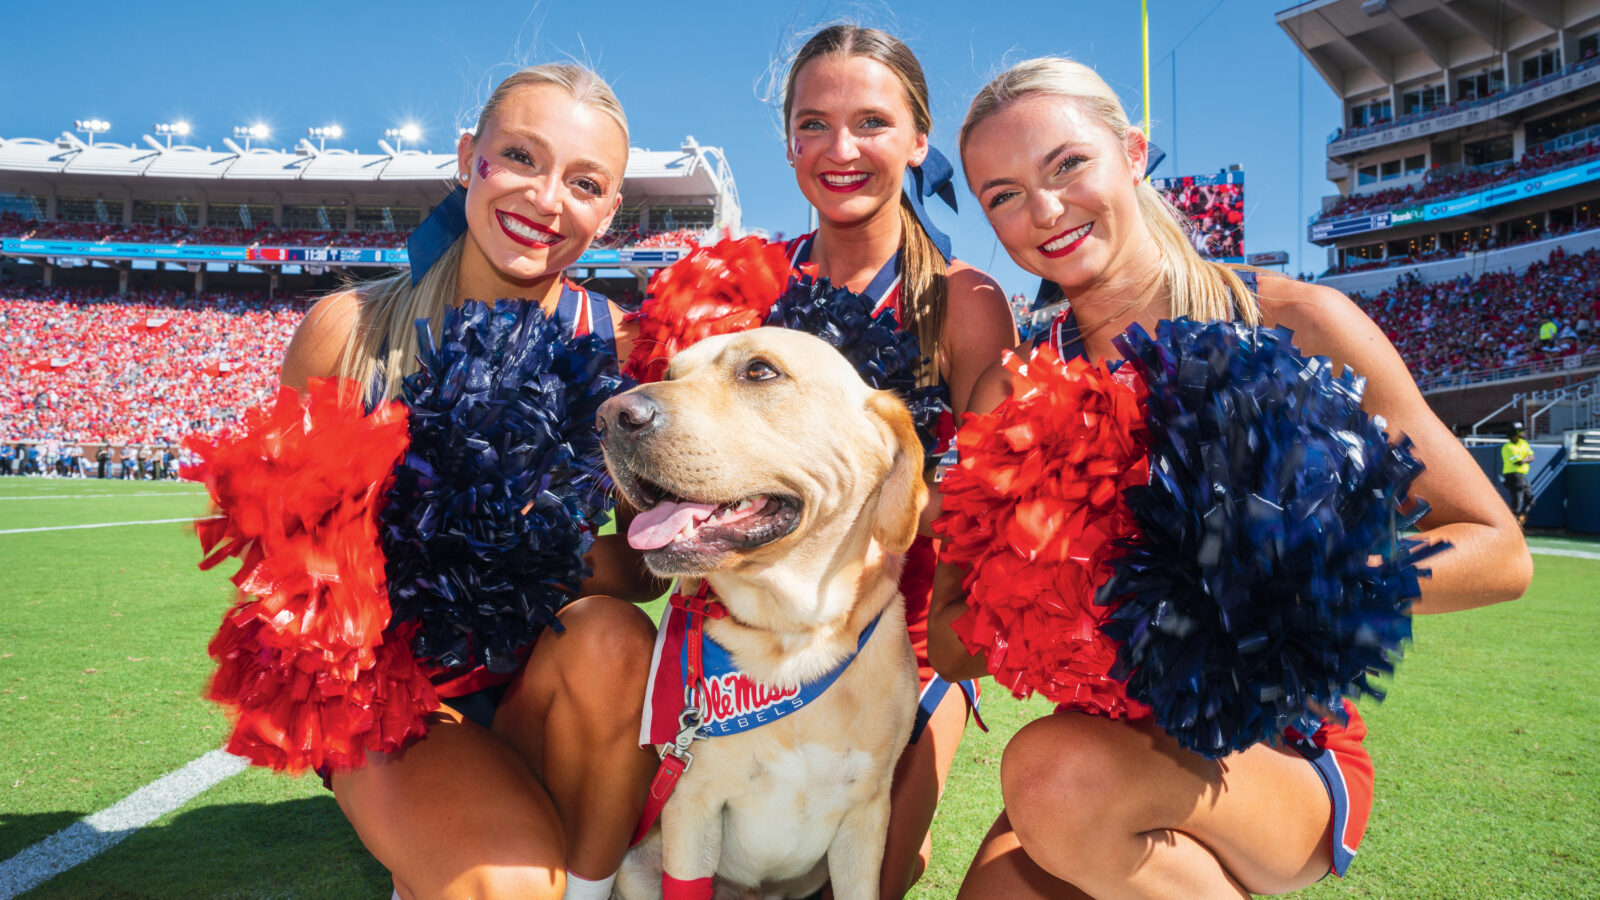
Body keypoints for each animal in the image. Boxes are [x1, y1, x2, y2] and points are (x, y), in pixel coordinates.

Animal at [601, 323, 928, 896]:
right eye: (669, 372)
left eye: (759, 370)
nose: (608, 417)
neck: (789, 641)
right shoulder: (691, 808)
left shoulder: (866, 818)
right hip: (638, 866)